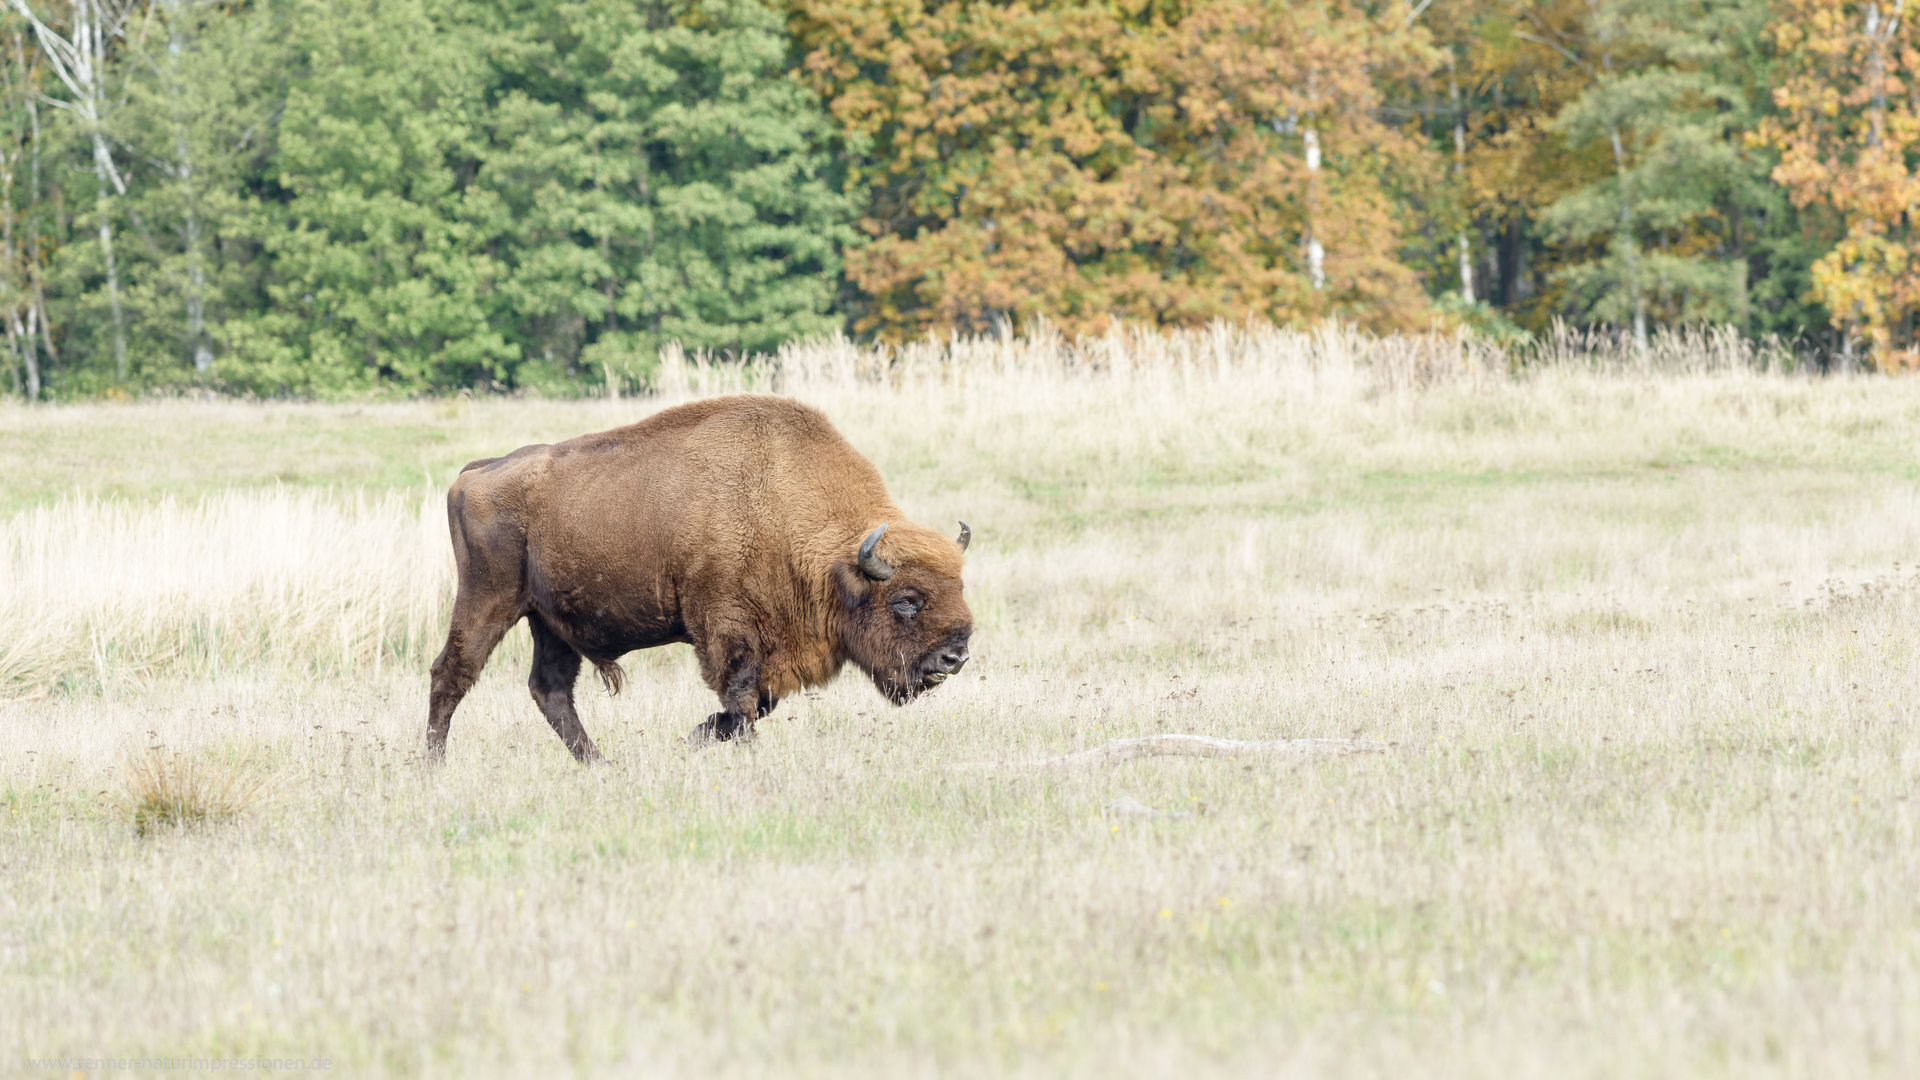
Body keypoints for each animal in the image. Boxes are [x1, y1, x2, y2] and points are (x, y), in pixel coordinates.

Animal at [422, 393, 975, 757]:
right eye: (906, 600)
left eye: (959, 586)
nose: (956, 657)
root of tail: (474, 473)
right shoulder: (728, 631)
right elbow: (742, 697)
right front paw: (738, 747)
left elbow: (753, 703)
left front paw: (697, 737)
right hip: (487, 599)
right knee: (452, 672)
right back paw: (433, 764)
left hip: (550, 622)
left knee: (550, 689)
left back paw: (600, 764)